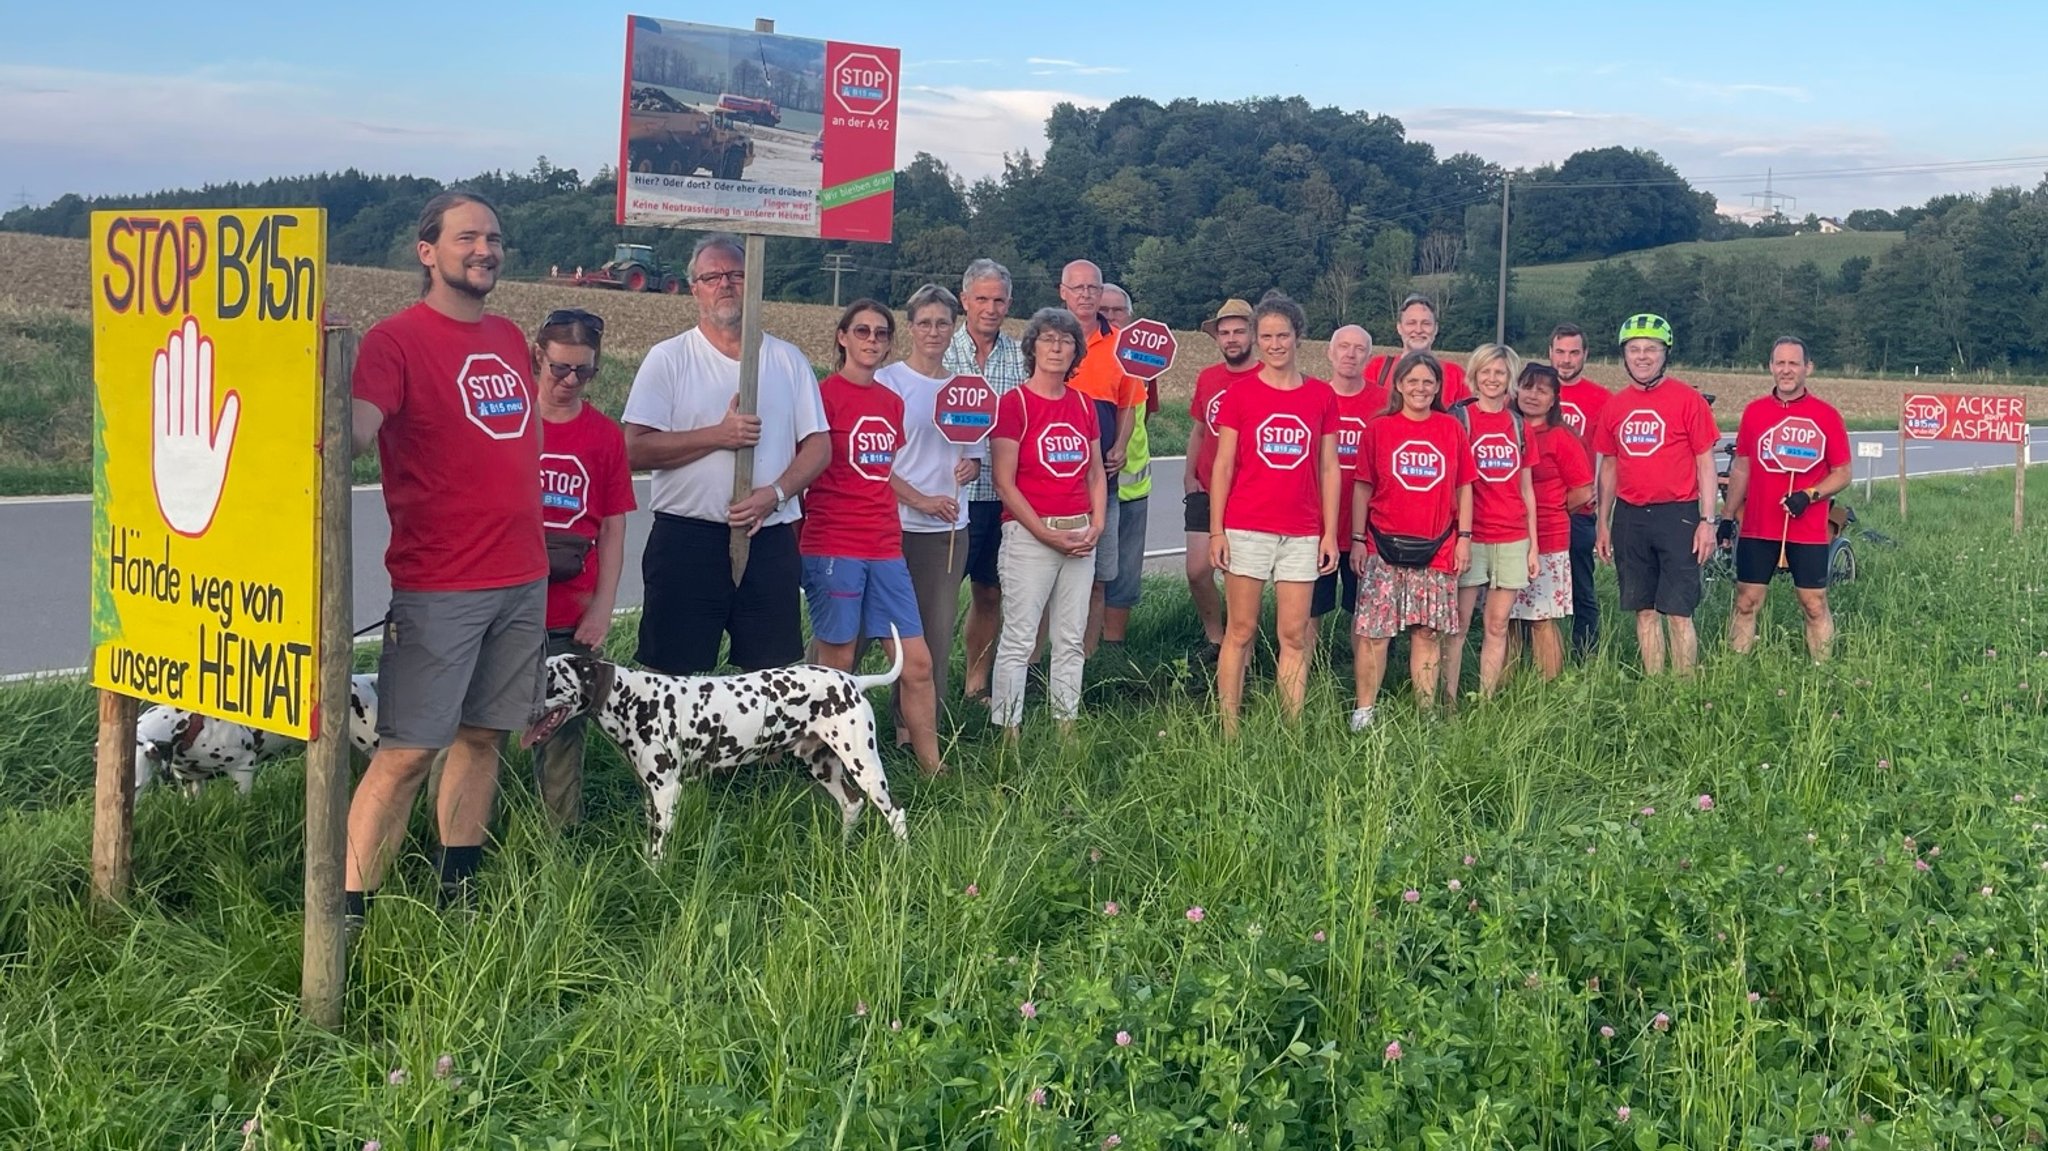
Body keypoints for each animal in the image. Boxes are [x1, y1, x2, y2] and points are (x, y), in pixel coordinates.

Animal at [520, 622, 913, 856]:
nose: (517, 704)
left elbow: (658, 851)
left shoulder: (666, 791)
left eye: (549, 680)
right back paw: (841, 849)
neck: (633, 698)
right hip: (824, 766)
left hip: (864, 766)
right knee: (852, 805)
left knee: (895, 813)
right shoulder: (651, 793)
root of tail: (853, 681)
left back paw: (901, 859)